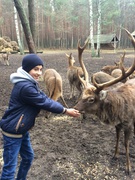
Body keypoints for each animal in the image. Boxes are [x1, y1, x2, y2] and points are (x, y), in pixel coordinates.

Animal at [74, 28, 135, 174]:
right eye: (82, 94)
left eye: (91, 99)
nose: (75, 108)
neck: (118, 112)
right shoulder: (118, 124)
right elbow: (117, 138)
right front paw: (115, 155)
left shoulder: (129, 123)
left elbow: (126, 143)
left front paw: (128, 167)